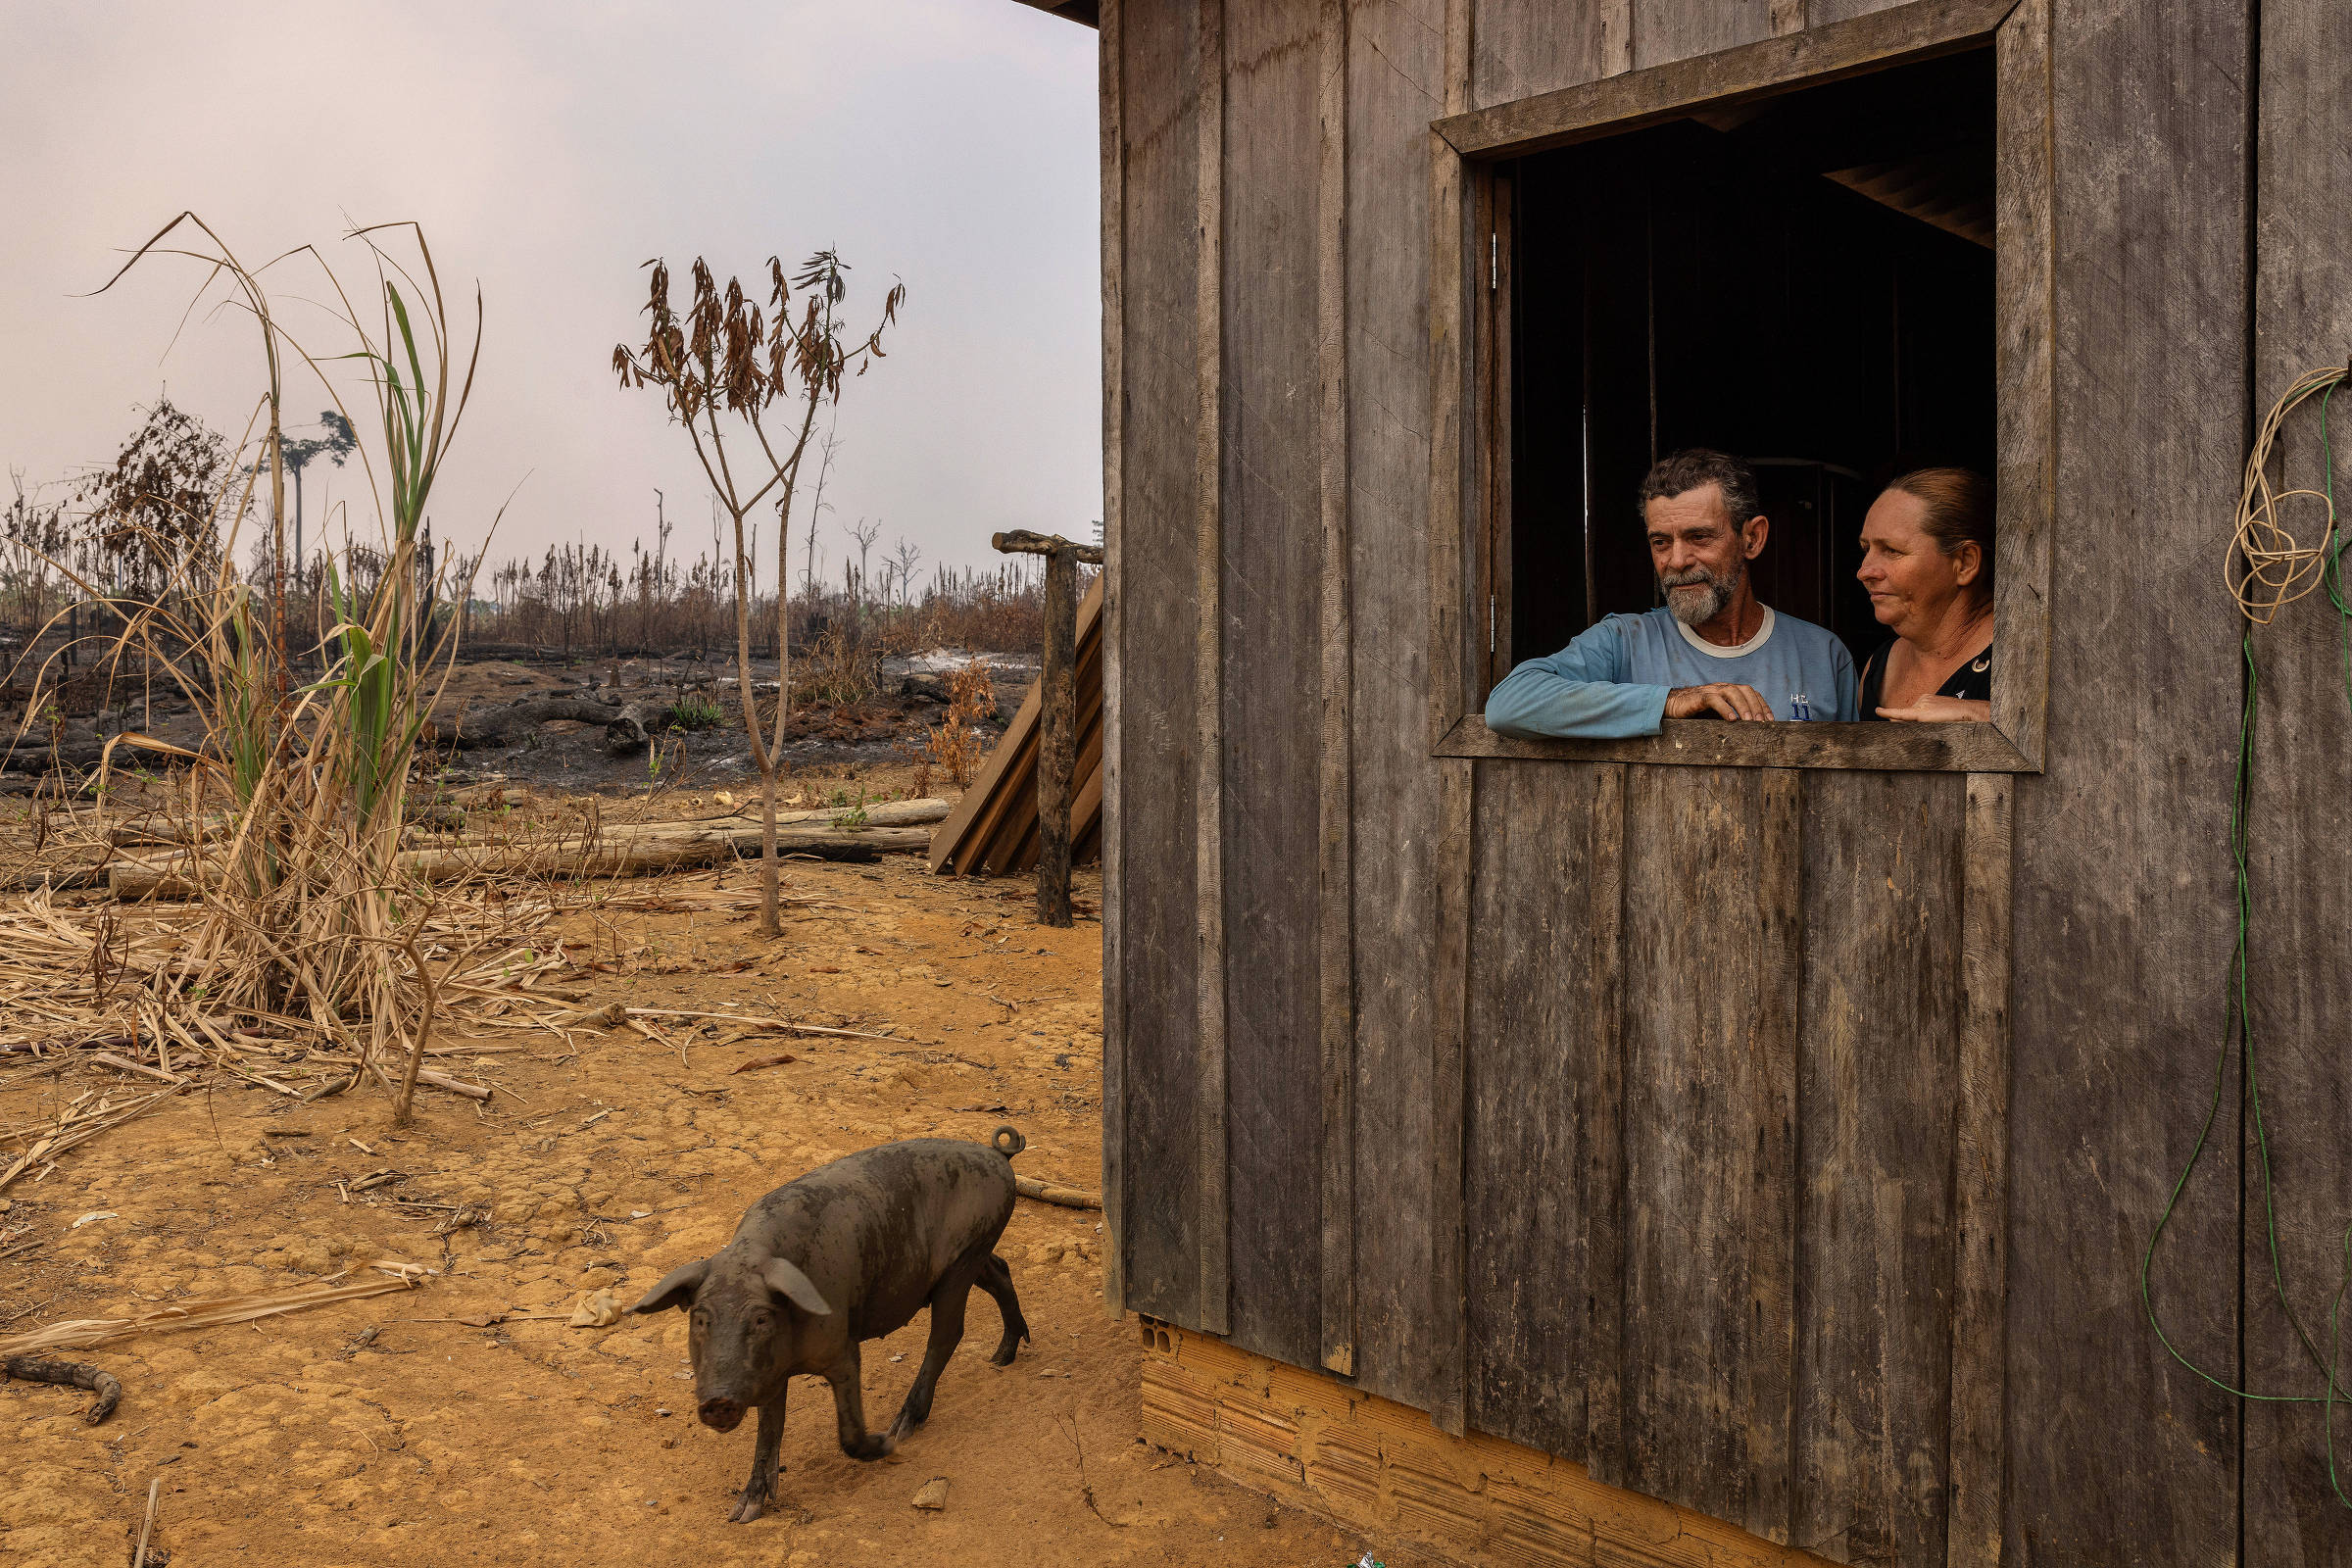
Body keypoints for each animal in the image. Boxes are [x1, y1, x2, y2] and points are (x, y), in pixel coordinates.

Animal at [630, 1123, 1035, 1523]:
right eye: (701, 1318)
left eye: (761, 1318)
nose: (717, 1400)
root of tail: (998, 1155)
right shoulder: (771, 1374)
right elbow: (769, 1431)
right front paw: (743, 1513)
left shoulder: (842, 1347)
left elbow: (848, 1432)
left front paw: (884, 1444)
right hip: (973, 1257)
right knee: (1000, 1271)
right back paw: (1002, 1357)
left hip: (965, 1257)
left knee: (947, 1333)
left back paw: (902, 1427)